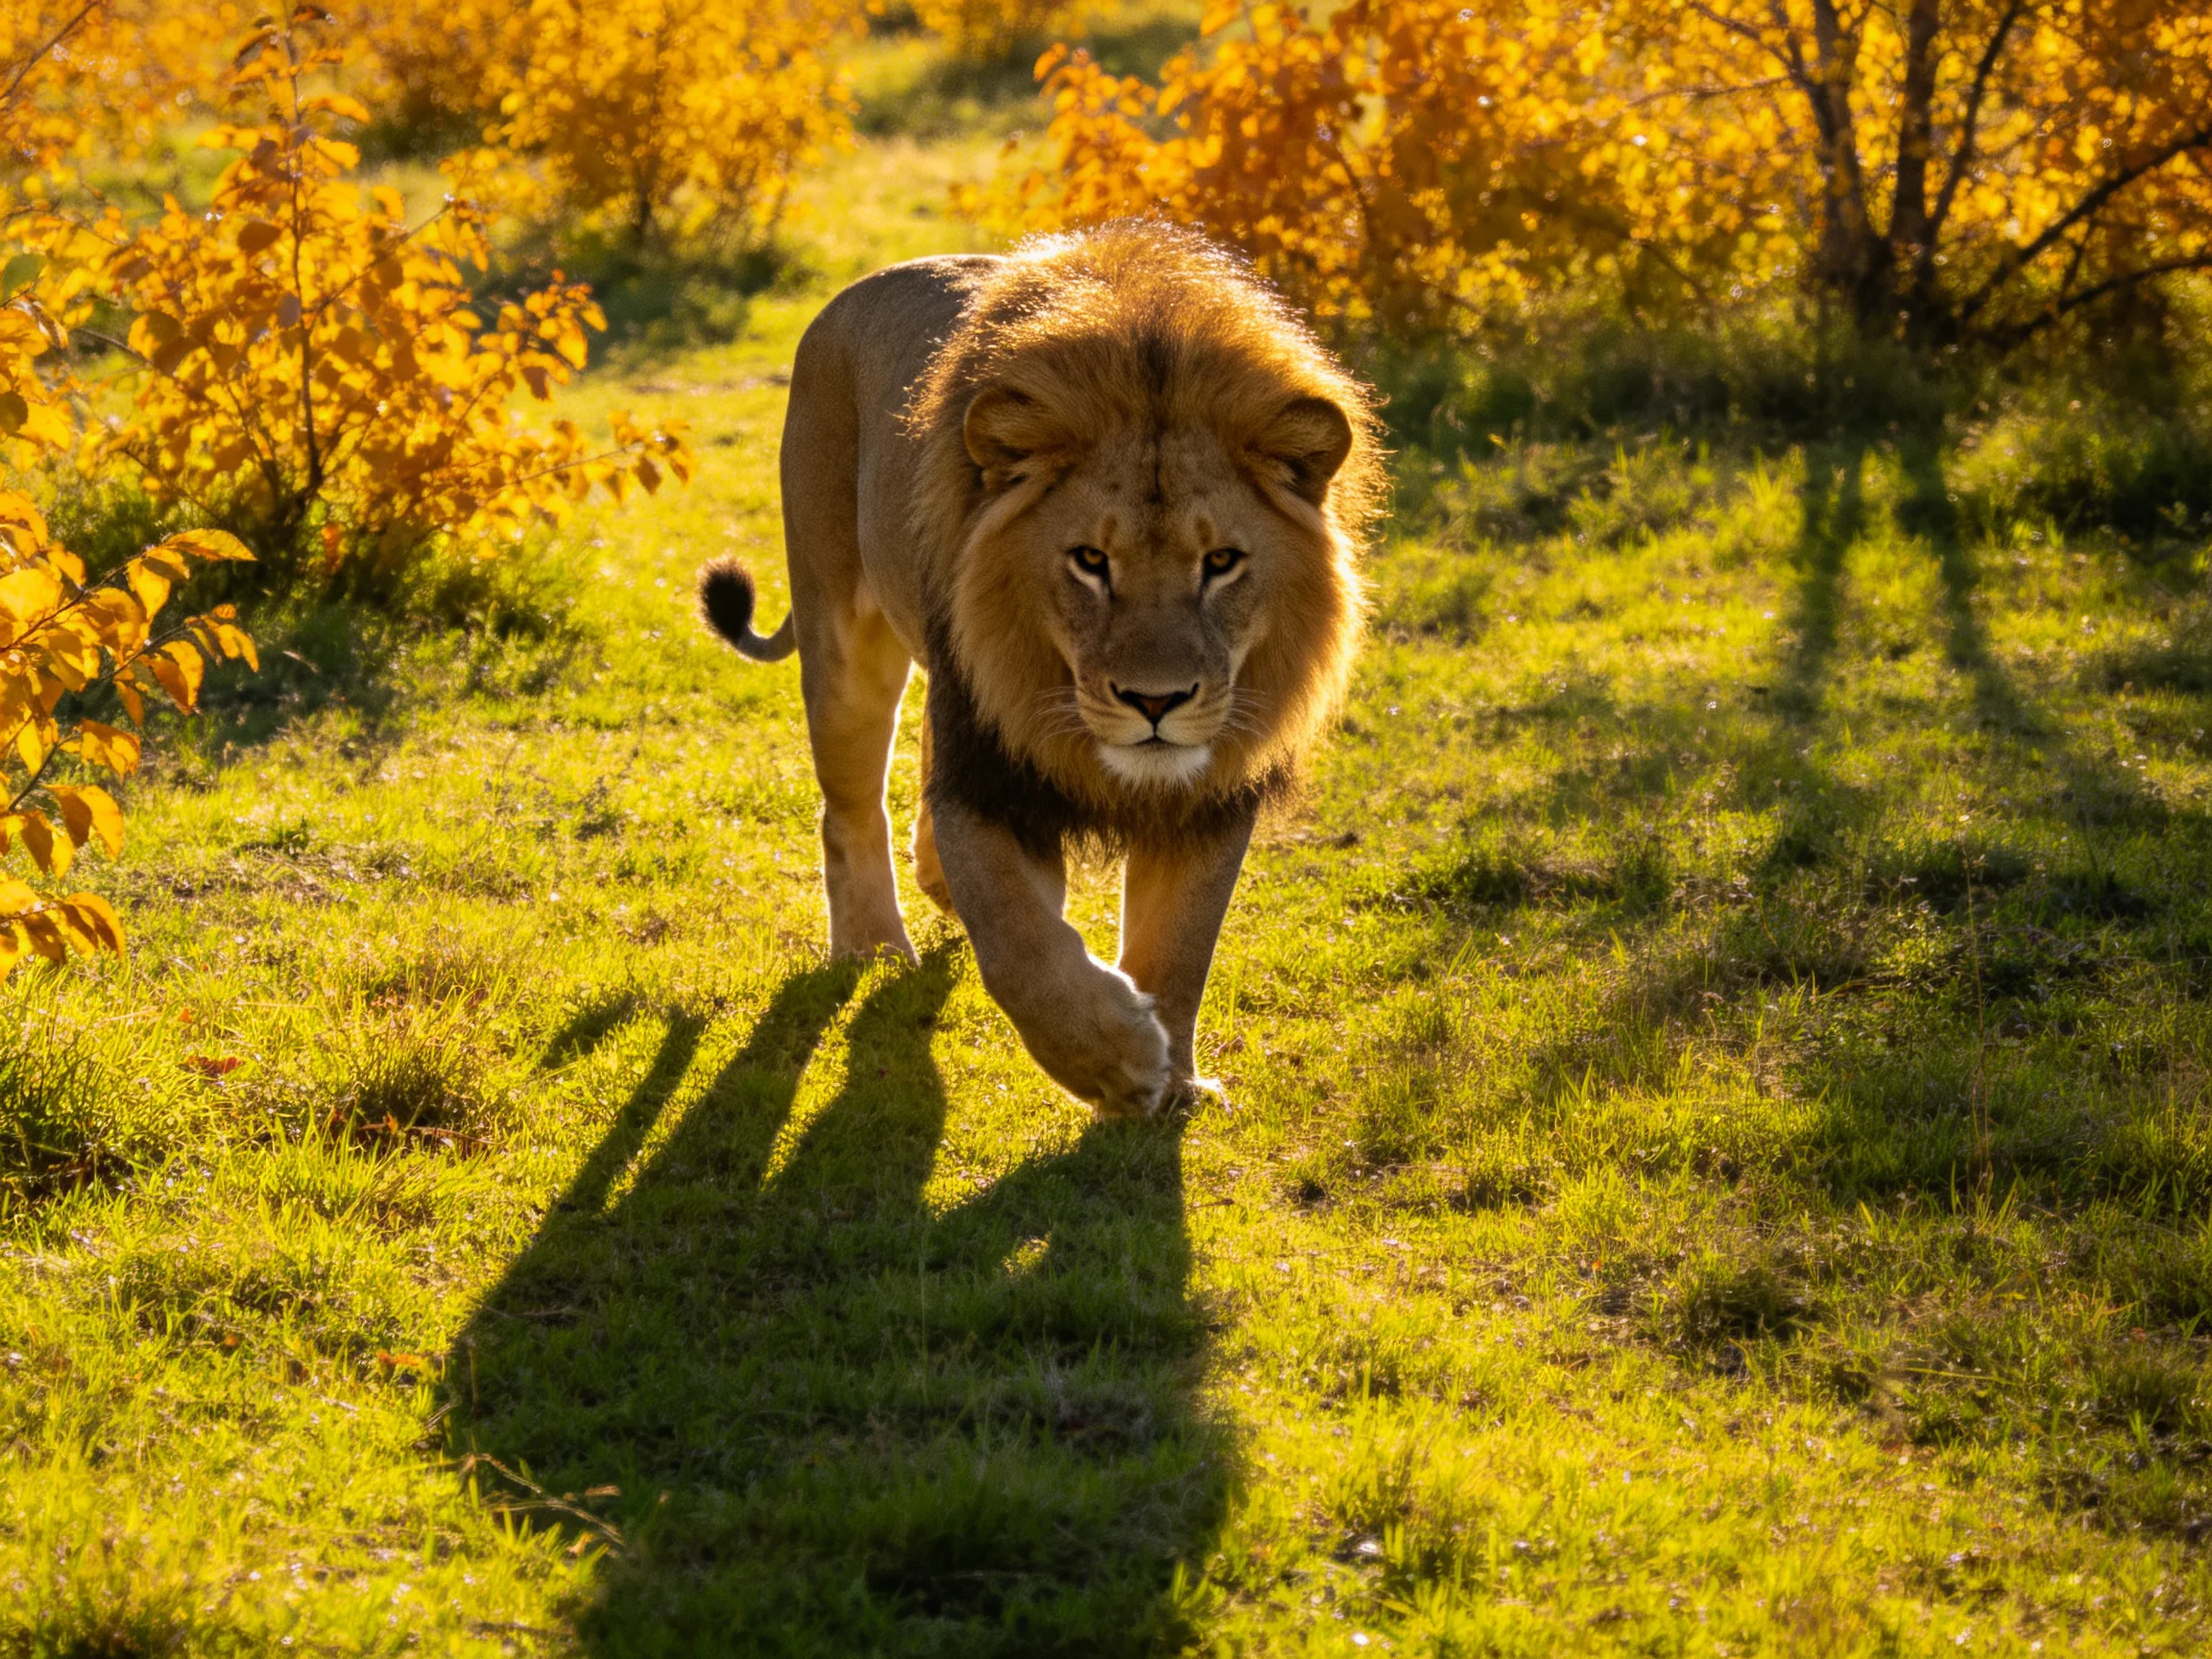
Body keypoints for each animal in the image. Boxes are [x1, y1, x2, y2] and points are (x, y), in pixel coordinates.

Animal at [699, 222, 1380, 1116]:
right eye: (1090, 561)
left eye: (1221, 562)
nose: (1156, 701)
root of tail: (847, 298)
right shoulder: (987, 776)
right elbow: (1019, 947)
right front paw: (1118, 1063)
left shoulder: (1211, 792)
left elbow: (1181, 943)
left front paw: (1174, 1081)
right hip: (842, 637)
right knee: (849, 809)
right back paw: (874, 948)